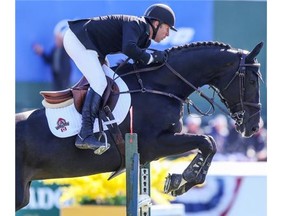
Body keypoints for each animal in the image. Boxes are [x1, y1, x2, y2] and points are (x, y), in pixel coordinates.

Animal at [15, 41, 264, 210]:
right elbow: (208, 142)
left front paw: (180, 180)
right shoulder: (155, 143)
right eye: (252, 81)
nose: (253, 127)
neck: (160, 86)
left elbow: (208, 143)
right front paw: (183, 180)